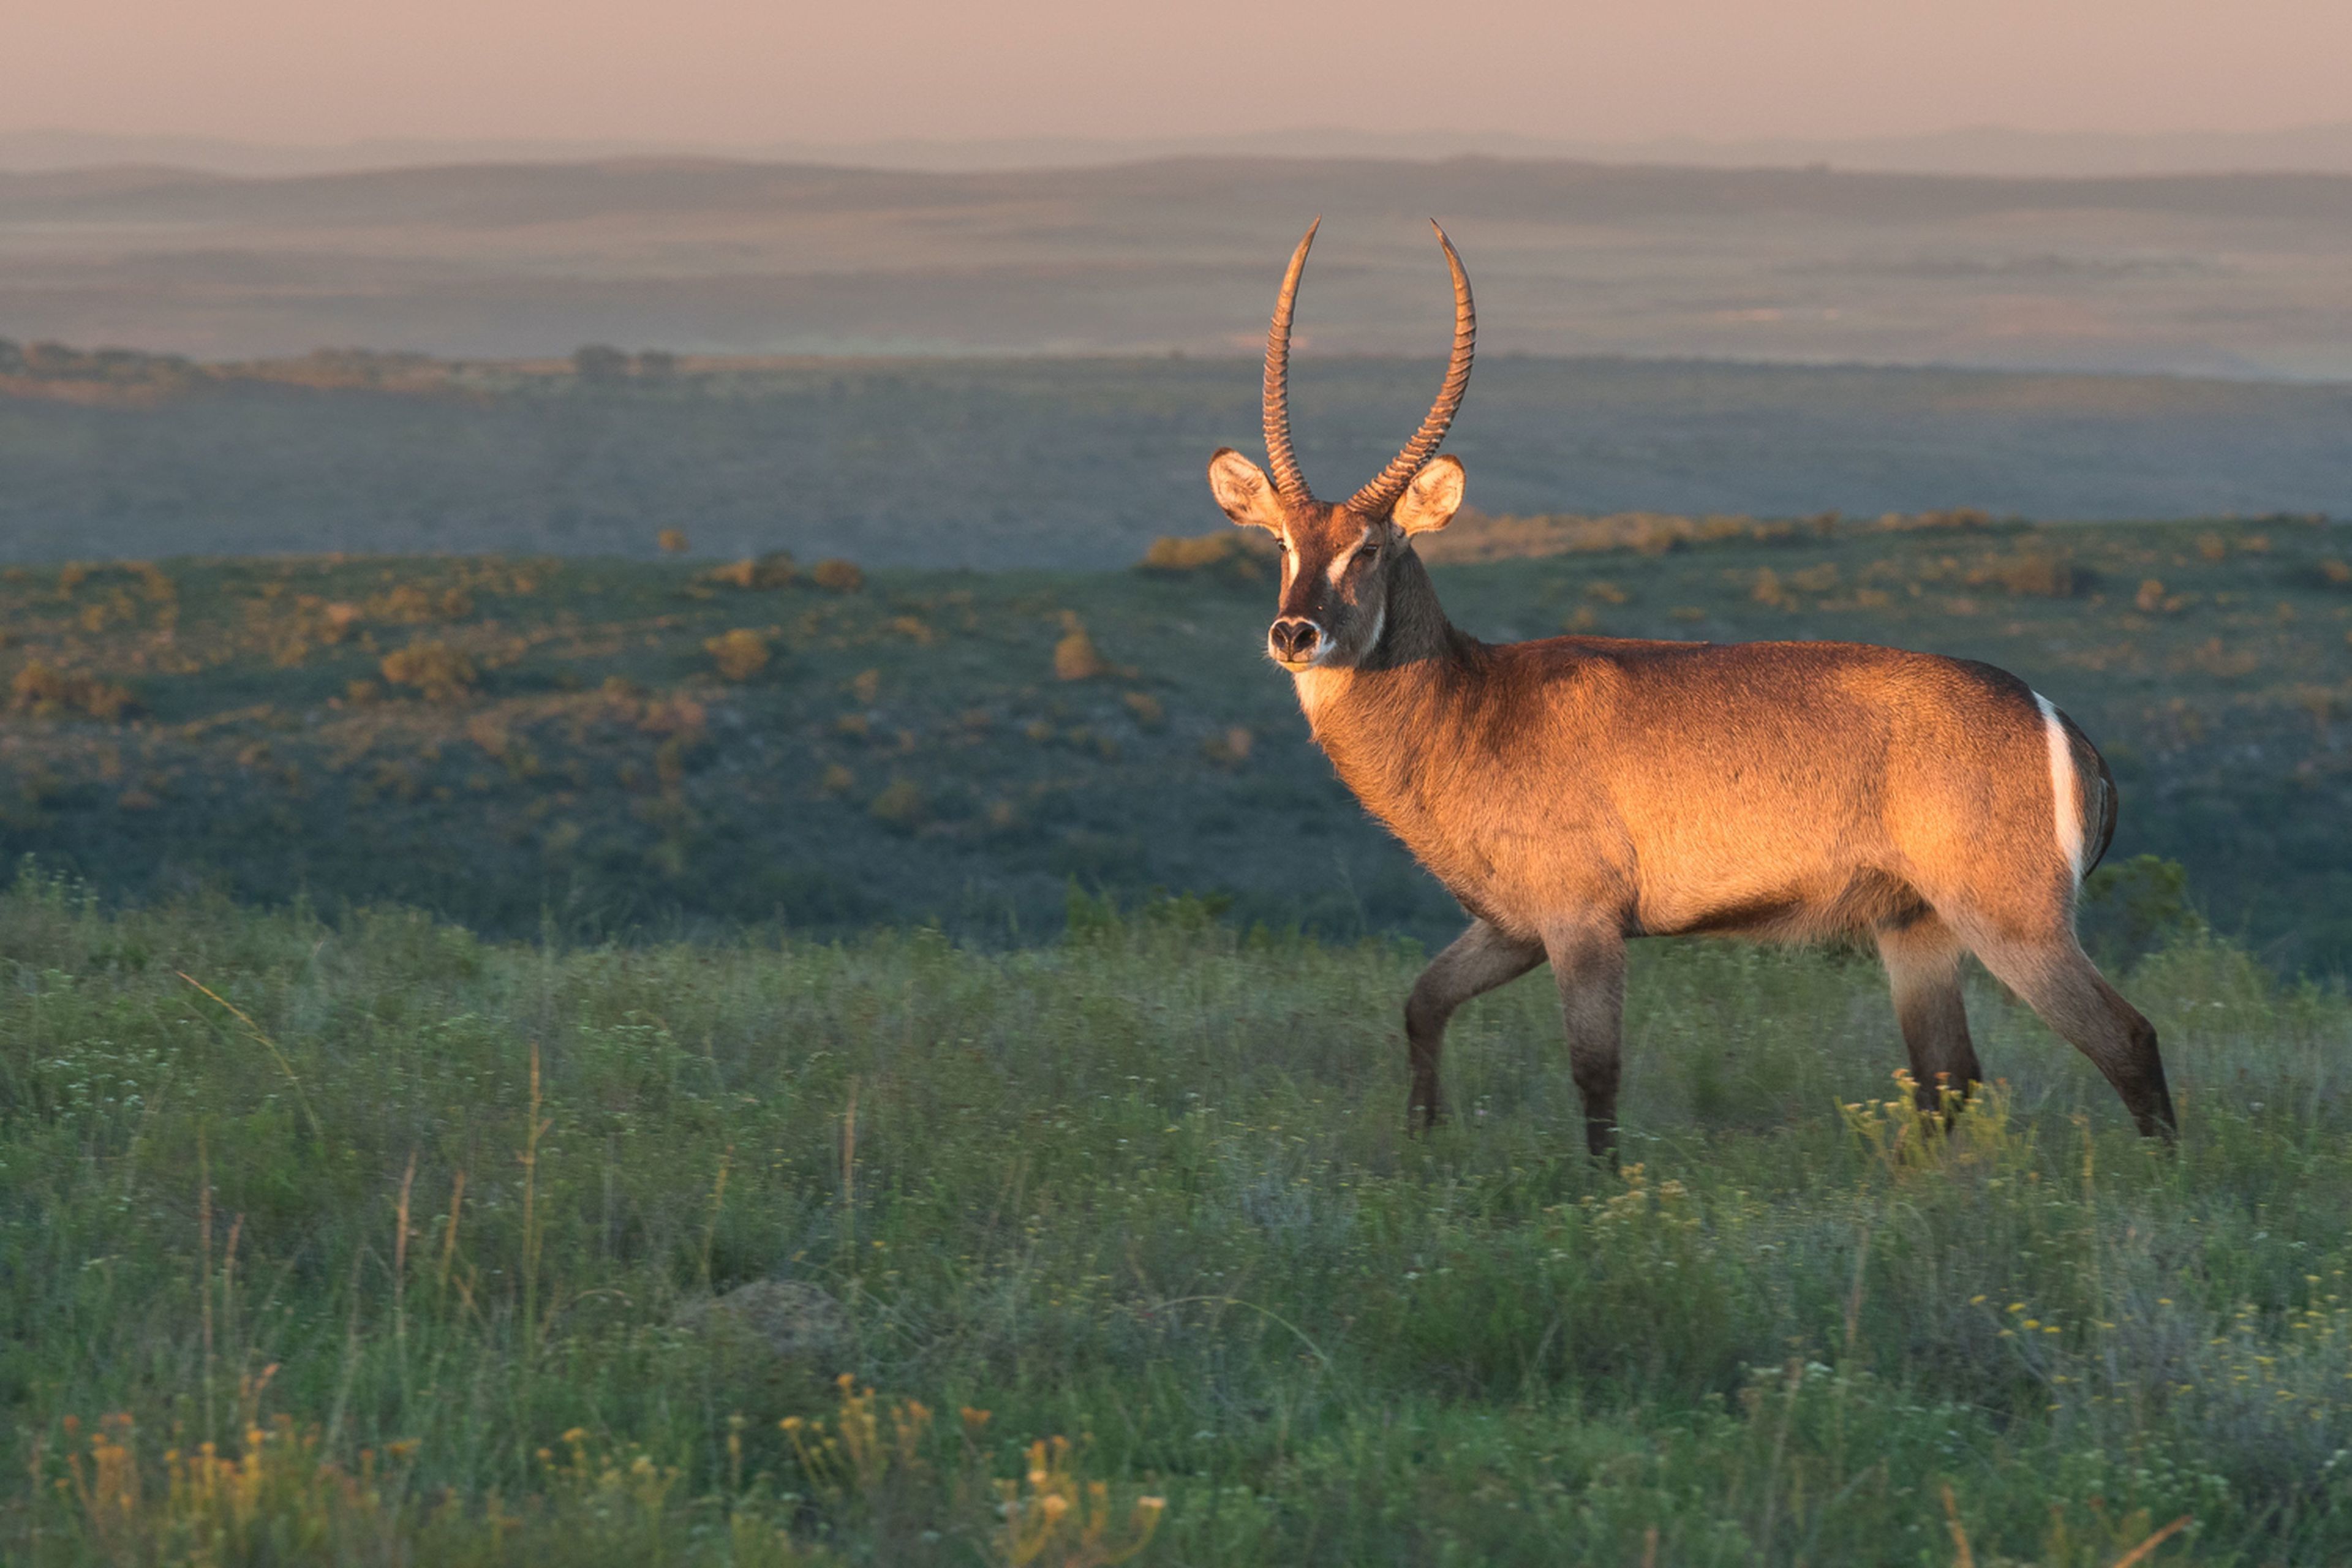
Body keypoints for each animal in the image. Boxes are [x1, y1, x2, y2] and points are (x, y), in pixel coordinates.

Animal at [1205, 220, 2176, 1161]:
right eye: (1283, 544)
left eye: (1368, 548)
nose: (1296, 635)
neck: (1469, 704)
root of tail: (2058, 721)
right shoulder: (1512, 927)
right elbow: (1422, 1003)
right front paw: (1421, 1149)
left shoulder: (1583, 922)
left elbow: (1595, 1073)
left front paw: (1601, 1196)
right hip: (1918, 929)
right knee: (1949, 1079)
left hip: (2013, 921)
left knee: (2126, 1039)